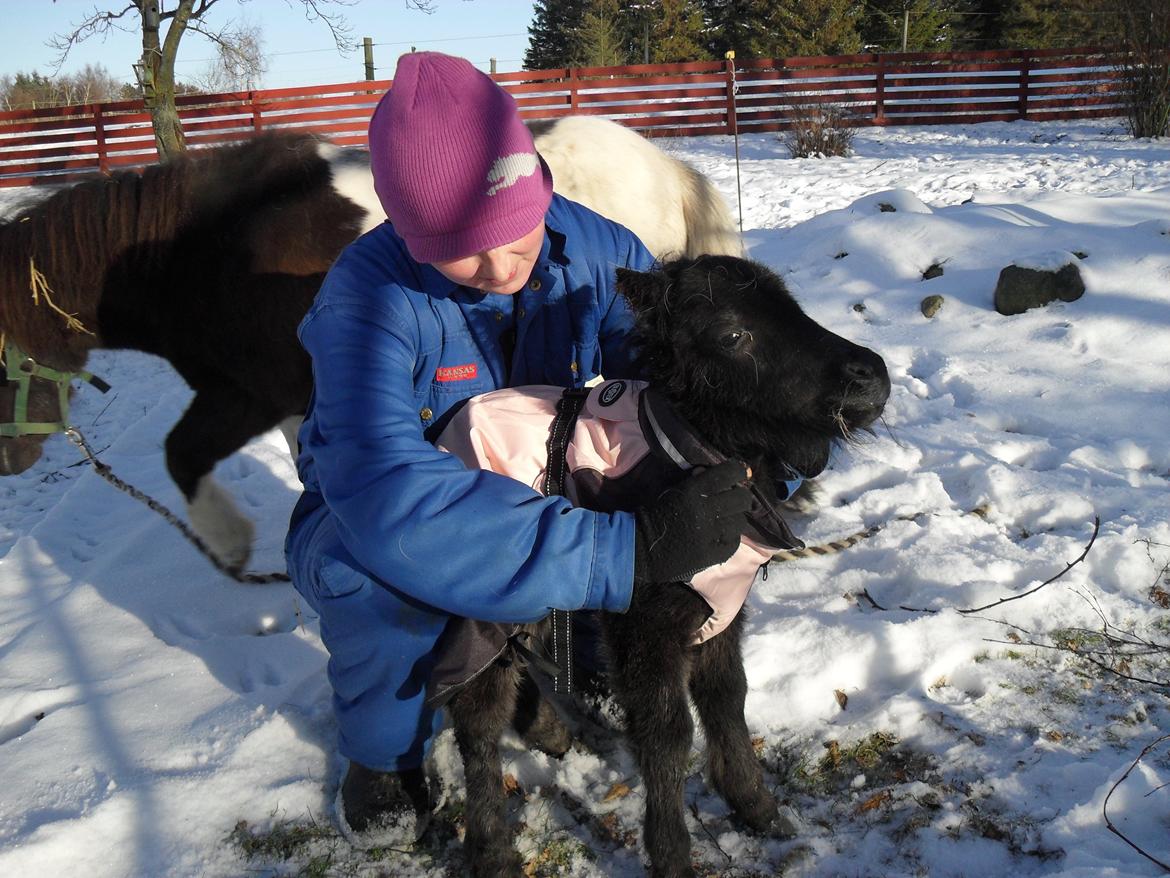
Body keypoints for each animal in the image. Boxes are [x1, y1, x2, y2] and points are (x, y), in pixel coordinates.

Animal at [442, 256, 889, 878]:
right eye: (731, 335)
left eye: (794, 306)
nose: (872, 377)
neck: (689, 454)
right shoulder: (644, 624)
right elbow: (667, 732)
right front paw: (673, 853)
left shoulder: (723, 610)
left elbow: (728, 698)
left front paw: (756, 806)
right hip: (480, 600)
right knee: (478, 716)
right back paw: (491, 849)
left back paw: (549, 733)